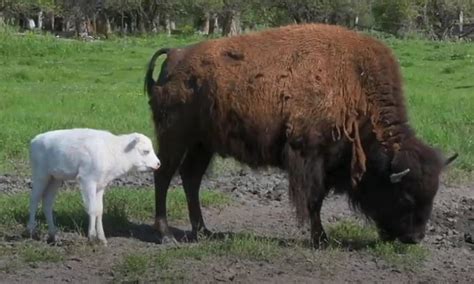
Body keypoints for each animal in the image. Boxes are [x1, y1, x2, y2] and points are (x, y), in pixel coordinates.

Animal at [27, 128, 161, 244]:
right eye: (146, 151)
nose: (158, 164)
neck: (114, 150)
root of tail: (35, 140)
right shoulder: (88, 181)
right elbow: (91, 209)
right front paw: (91, 237)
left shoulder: (100, 186)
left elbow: (99, 210)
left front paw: (102, 238)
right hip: (41, 176)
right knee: (34, 199)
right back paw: (31, 231)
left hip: (54, 179)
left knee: (47, 203)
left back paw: (53, 235)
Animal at [145, 23, 460, 247]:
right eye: (405, 196)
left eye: (433, 193)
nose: (415, 238)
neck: (355, 83)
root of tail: (174, 56)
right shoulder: (310, 156)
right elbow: (313, 200)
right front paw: (320, 239)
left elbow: (317, 200)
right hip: (175, 138)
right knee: (164, 176)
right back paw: (165, 234)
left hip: (202, 144)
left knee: (191, 179)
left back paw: (203, 231)